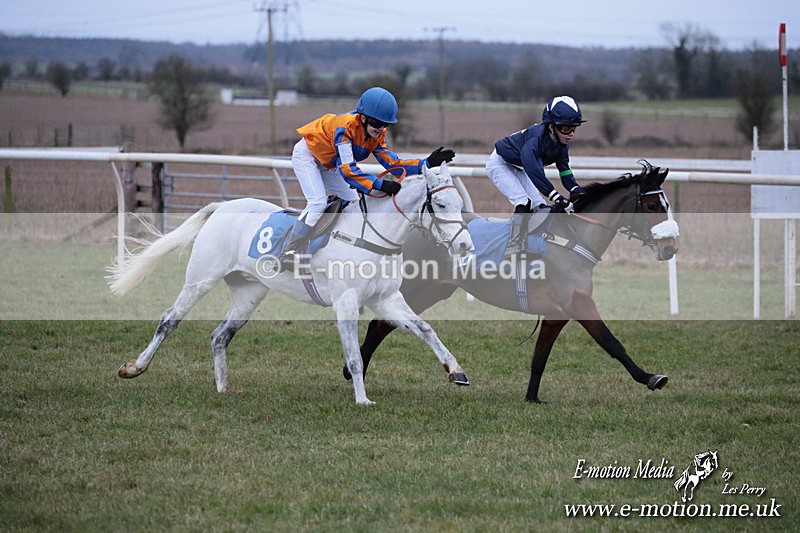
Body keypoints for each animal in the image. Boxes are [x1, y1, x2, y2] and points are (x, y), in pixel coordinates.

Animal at [107, 163, 475, 405]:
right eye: (441, 204)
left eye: (460, 204)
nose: (464, 245)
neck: (372, 236)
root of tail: (222, 206)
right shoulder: (346, 301)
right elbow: (354, 355)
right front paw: (362, 399)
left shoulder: (386, 298)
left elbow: (425, 329)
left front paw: (455, 370)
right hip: (201, 278)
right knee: (169, 320)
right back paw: (135, 368)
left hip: (249, 293)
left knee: (220, 335)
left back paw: (224, 387)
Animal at [345, 161, 679, 403]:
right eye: (653, 206)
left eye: (666, 205)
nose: (671, 248)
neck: (573, 237)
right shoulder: (579, 302)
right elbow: (613, 343)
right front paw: (651, 378)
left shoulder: (557, 313)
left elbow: (540, 357)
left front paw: (532, 398)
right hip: (415, 287)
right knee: (379, 324)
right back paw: (353, 371)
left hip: (434, 290)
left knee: (385, 324)